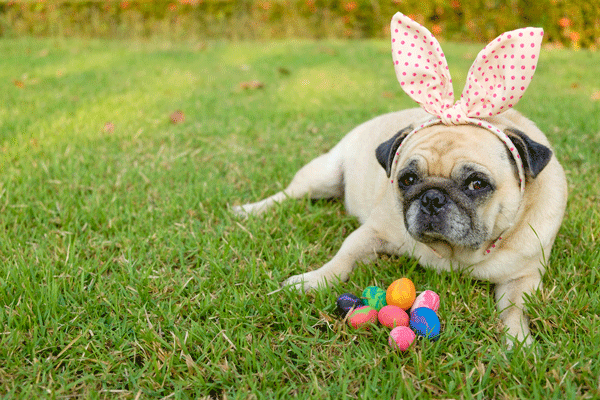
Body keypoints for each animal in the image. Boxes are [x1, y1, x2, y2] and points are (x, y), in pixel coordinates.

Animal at [233, 14, 568, 346]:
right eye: (407, 179)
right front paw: (312, 280)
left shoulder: (524, 277)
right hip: (322, 175)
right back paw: (249, 211)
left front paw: (519, 344)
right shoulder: (373, 231)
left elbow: (515, 310)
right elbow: (342, 258)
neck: (454, 253)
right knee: (288, 195)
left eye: (477, 184)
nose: (432, 197)